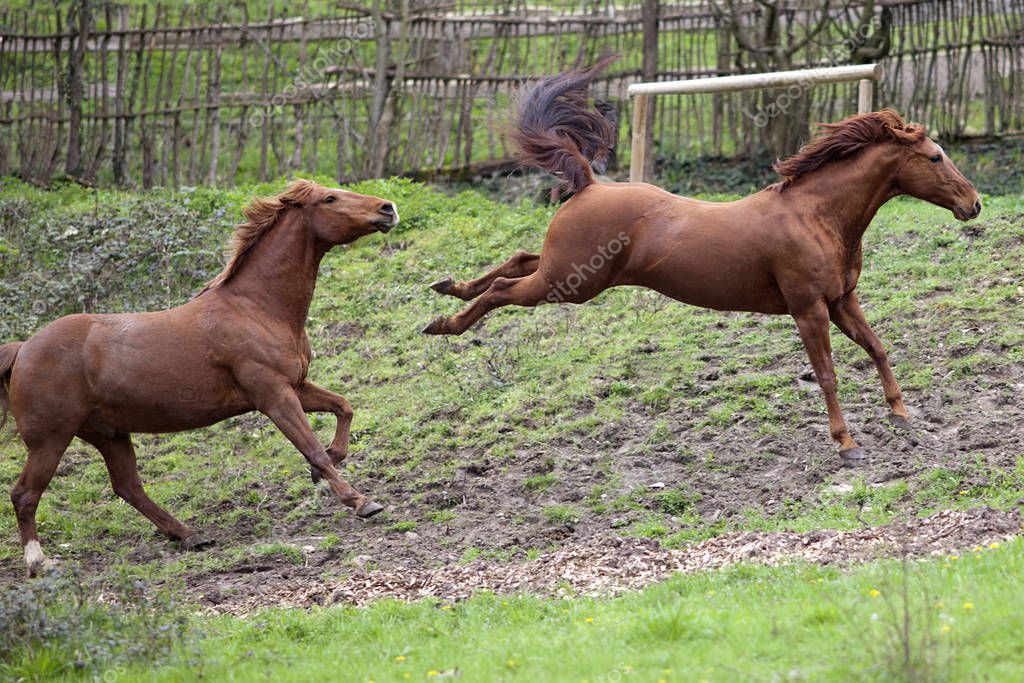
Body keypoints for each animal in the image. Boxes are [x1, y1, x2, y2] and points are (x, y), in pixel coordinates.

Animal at [0, 180, 398, 576]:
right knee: (25, 494)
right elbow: (312, 448)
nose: (388, 208)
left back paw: (189, 535)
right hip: (51, 438)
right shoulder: (274, 395)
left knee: (128, 487)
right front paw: (360, 501)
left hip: (108, 433)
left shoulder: (295, 387)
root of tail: (23, 349)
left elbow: (344, 408)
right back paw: (39, 561)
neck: (257, 308)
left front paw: (330, 464)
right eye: (329, 198)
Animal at [423, 60, 981, 463]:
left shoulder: (843, 300)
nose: (973, 204)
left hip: (568, 272)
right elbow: (827, 374)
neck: (815, 216)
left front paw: (901, 414)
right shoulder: (809, 310)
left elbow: (878, 348)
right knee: (504, 290)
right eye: (935, 157)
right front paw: (846, 444)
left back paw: (447, 288)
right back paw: (444, 323)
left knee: (518, 259)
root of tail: (591, 182)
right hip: (569, 284)